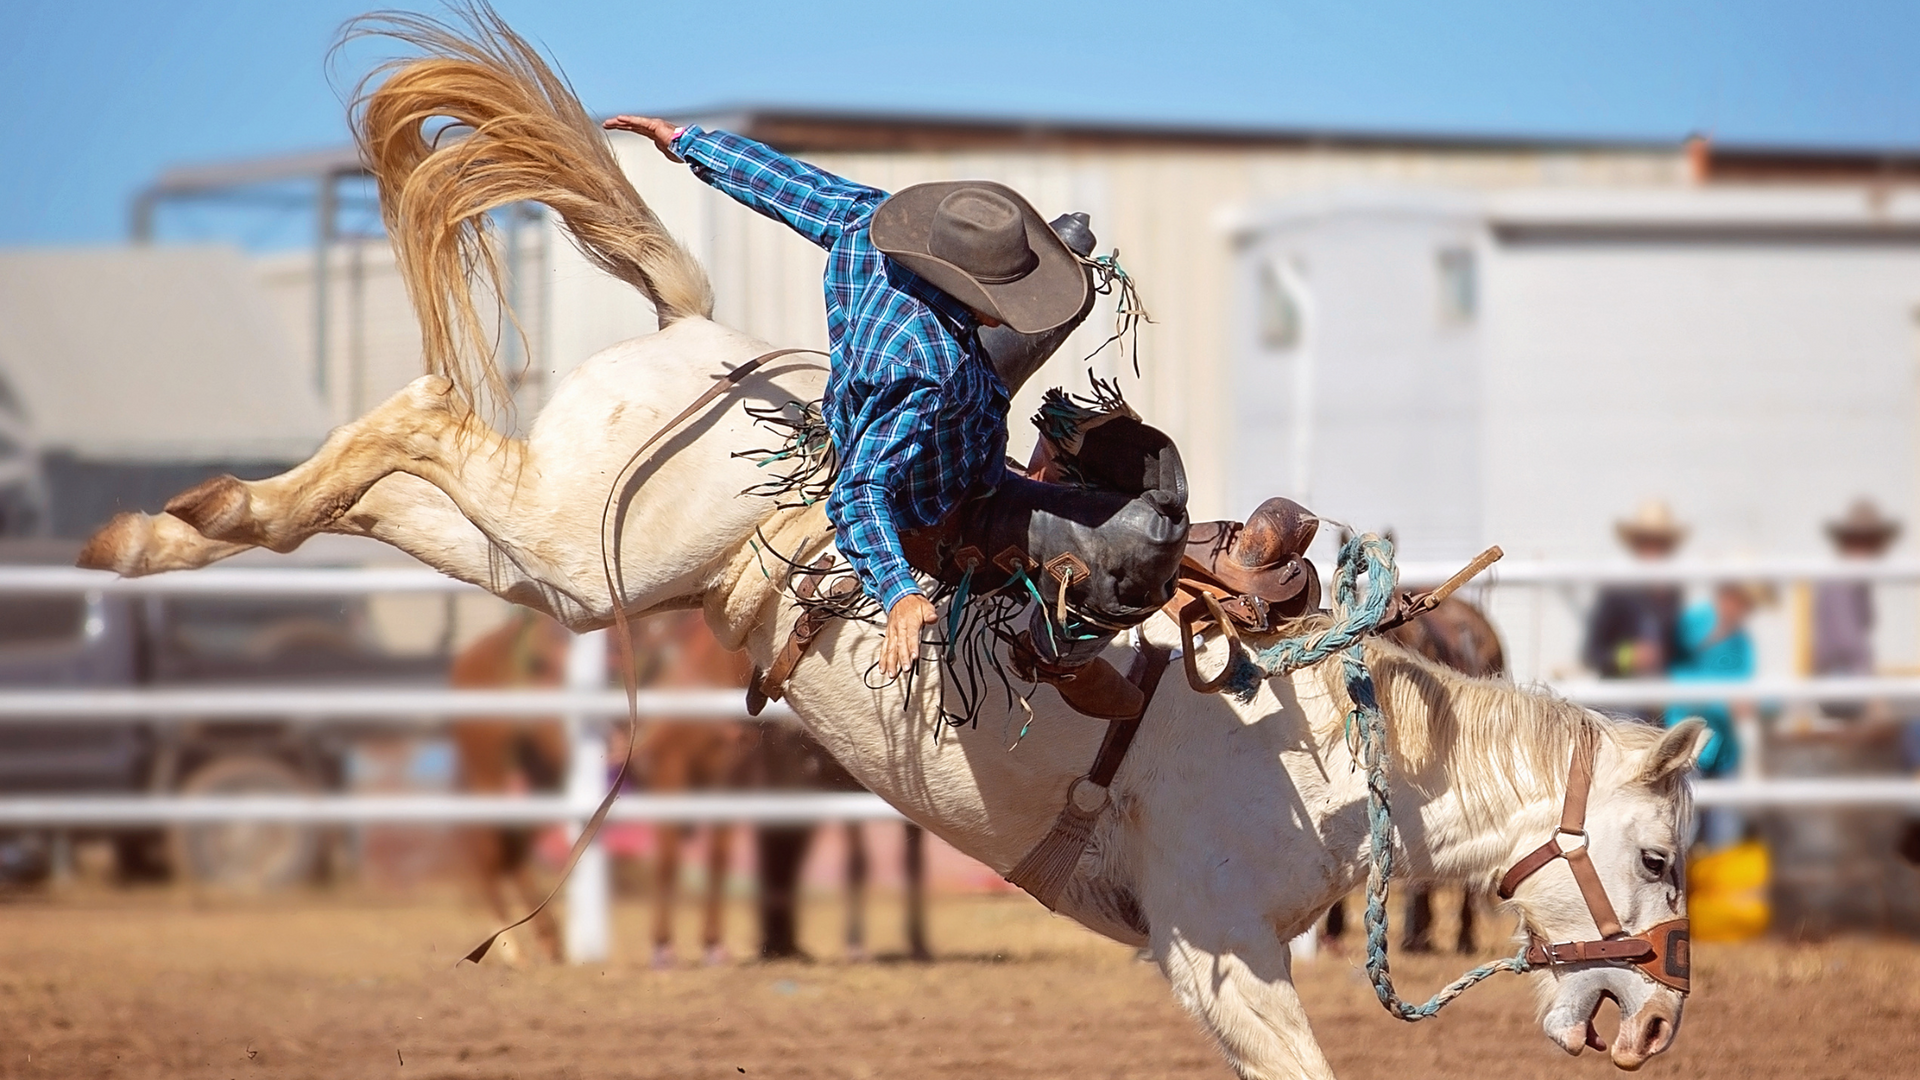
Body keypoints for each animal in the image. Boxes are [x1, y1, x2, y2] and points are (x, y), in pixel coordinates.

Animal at [78, 10, 1707, 1074]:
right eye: (1658, 853)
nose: (1651, 1019)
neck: (1329, 761)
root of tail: (704, 342)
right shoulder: (1219, 952)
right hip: (583, 555)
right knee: (419, 416)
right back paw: (162, 533)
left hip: (550, 565)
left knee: (393, 480)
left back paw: (186, 523)